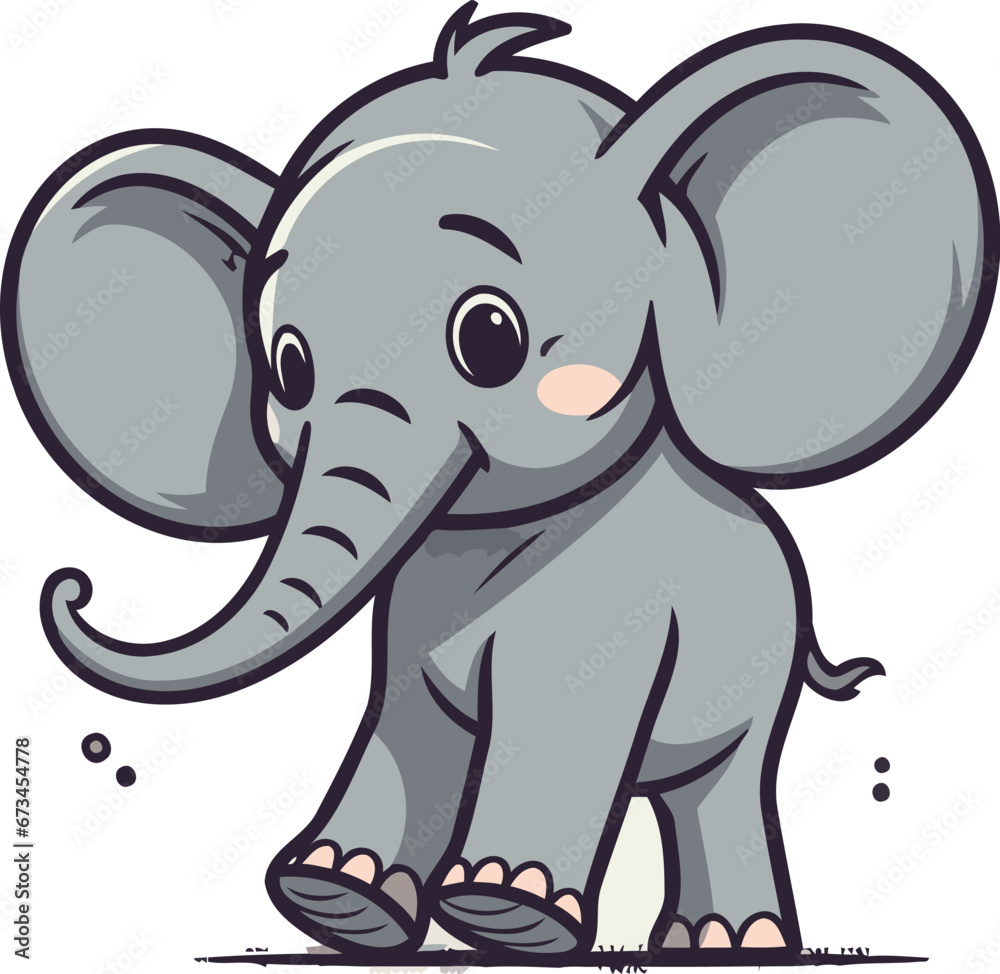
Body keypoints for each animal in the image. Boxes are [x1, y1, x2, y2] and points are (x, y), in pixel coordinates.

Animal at [3, 1, 997, 960]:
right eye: (287, 369)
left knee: (723, 784)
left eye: (489, 336)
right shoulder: (414, 604)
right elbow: (410, 722)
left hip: (759, 667)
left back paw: (728, 943)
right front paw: (338, 899)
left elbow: (556, 716)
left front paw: (507, 912)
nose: (69, 588)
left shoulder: (613, 606)